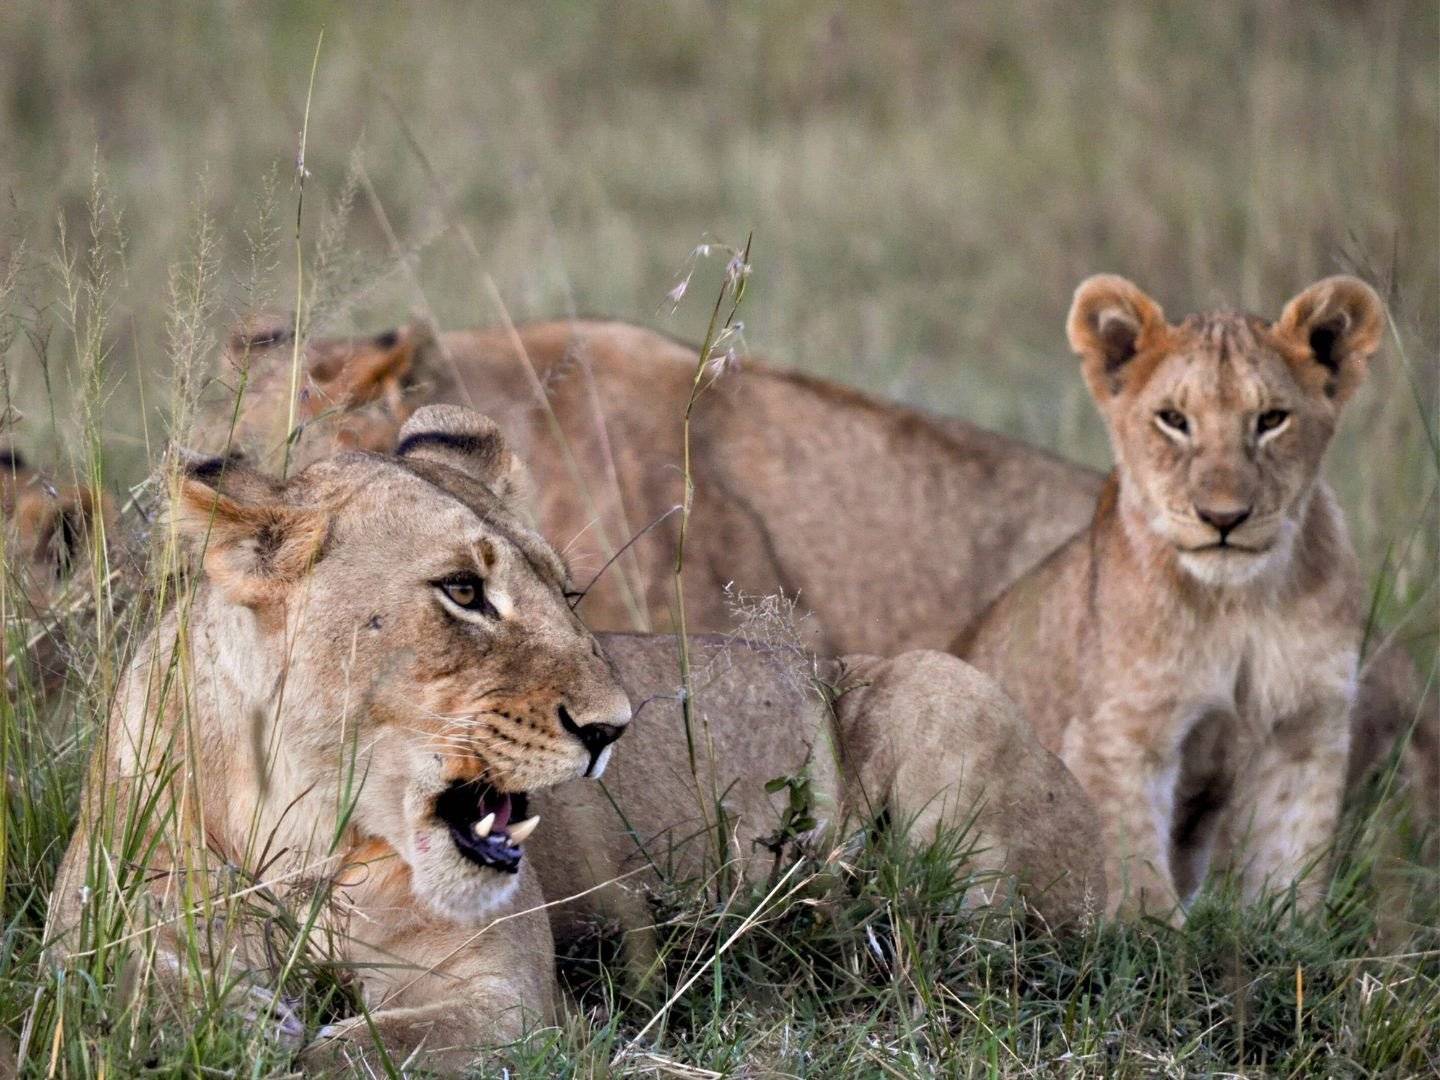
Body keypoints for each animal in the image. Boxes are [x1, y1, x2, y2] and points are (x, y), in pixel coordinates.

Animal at [45, 406, 1100, 1077]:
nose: (612, 728)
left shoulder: (508, 1000)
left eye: (568, 592)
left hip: (941, 693)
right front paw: (226, 1016)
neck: (298, 832)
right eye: (462, 591)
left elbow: (357, 1054)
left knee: (980, 957)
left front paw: (282, 1040)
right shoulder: (86, 932)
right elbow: (117, 985)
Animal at [956, 276, 1393, 921]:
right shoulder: (1119, 734)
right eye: (1173, 420)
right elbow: (1134, 866)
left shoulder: (1307, 727)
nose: (1224, 517)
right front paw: (1157, 934)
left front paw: (1284, 931)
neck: (1239, 605)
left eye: (1271, 419)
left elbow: (1290, 862)